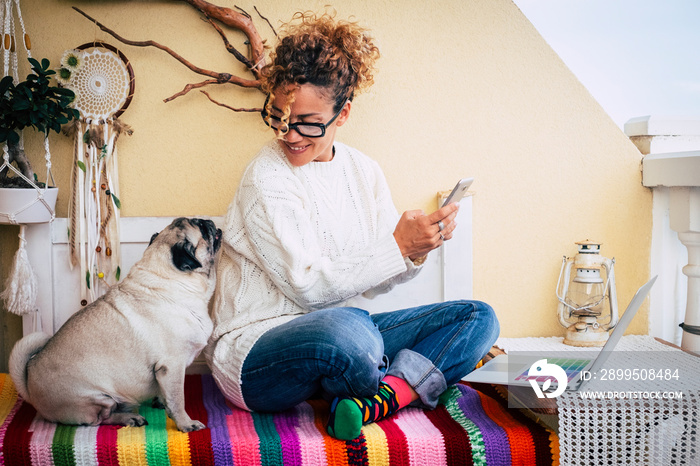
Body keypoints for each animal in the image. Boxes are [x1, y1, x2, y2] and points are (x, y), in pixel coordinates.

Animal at [8, 217, 221, 432]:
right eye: (201, 227)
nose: (209, 221)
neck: (169, 279)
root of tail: (29, 382)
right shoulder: (172, 366)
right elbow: (178, 400)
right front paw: (186, 423)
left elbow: (167, 395)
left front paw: (161, 402)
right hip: (99, 398)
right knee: (98, 420)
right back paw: (129, 418)